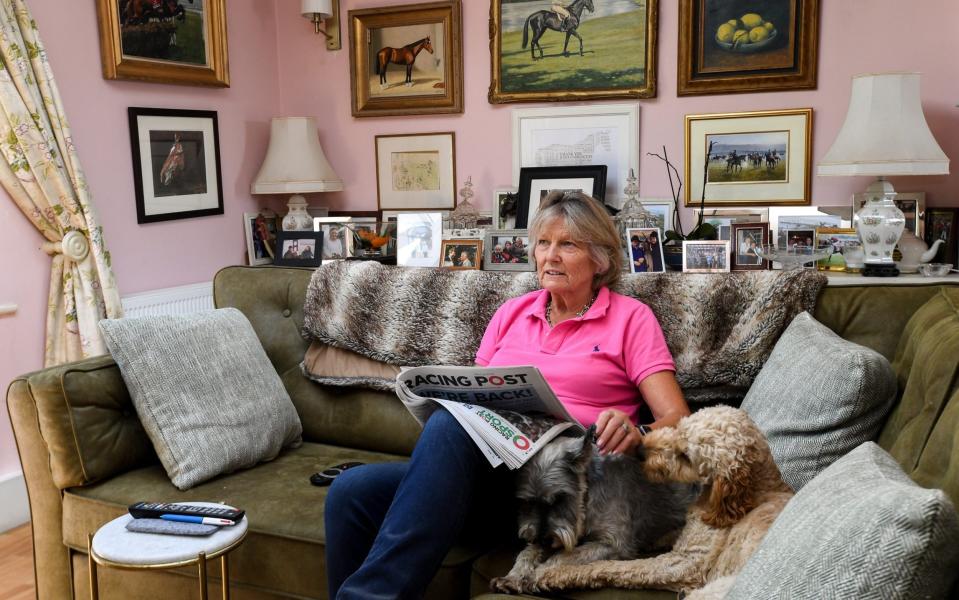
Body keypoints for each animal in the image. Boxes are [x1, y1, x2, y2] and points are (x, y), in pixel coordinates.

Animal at [496, 426, 688, 596]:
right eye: (527, 502)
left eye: (560, 499)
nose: (543, 540)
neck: (588, 493)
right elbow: (527, 552)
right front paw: (513, 576)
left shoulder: (613, 543)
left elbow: (564, 556)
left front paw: (536, 575)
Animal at [524, 406, 796, 596]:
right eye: (680, 426)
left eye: (686, 455)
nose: (640, 450)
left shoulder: (684, 562)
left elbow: (616, 567)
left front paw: (552, 572)